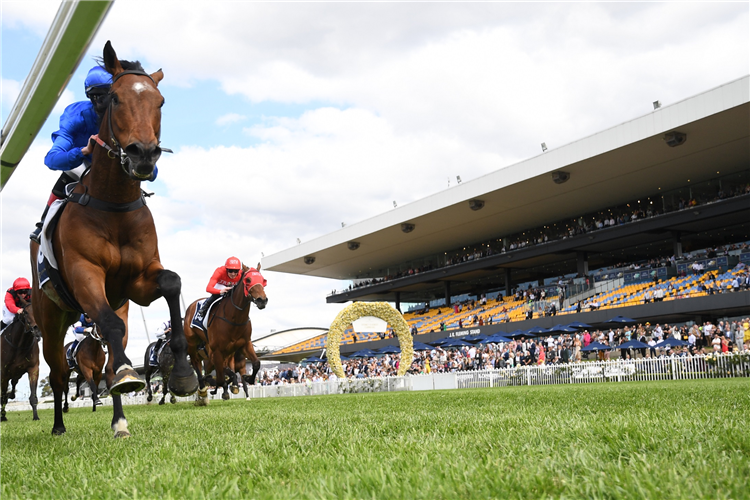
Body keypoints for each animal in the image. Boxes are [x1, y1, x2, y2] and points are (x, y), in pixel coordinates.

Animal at [30, 41, 198, 436]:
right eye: (116, 98)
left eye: (160, 101)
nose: (144, 153)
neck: (114, 204)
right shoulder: (84, 273)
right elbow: (107, 326)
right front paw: (126, 374)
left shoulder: (136, 282)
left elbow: (171, 282)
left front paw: (183, 374)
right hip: (51, 317)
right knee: (59, 373)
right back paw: (58, 425)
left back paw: (119, 420)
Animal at [184, 266, 268, 402]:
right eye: (248, 280)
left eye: (263, 280)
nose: (262, 300)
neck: (234, 318)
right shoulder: (217, 352)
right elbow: (221, 377)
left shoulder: (244, 344)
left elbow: (256, 363)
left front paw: (247, 378)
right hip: (192, 343)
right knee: (196, 363)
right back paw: (202, 387)